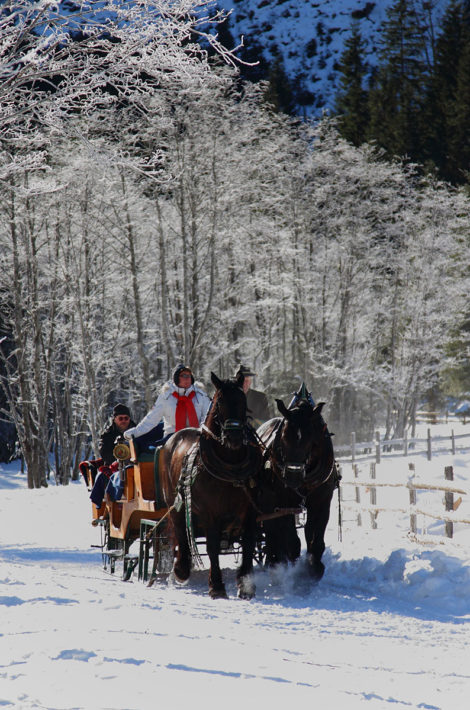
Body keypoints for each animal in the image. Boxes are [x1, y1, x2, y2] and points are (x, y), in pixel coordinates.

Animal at [161, 372, 264, 600]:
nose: (234, 437)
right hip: (175, 502)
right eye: (219, 402)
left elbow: (249, 543)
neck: (231, 466)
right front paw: (216, 586)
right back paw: (181, 569)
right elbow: (213, 546)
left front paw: (246, 584)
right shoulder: (211, 513)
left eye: (243, 401)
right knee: (181, 531)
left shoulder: (251, 510)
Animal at [258, 386, 338, 580]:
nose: (292, 476)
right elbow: (292, 541)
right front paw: (295, 570)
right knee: (272, 532)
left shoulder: (322, 501)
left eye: (311, 438)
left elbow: (315, 537)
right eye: (283, 436)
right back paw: (274, 562)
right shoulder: (284, 503)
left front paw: (314, 567)